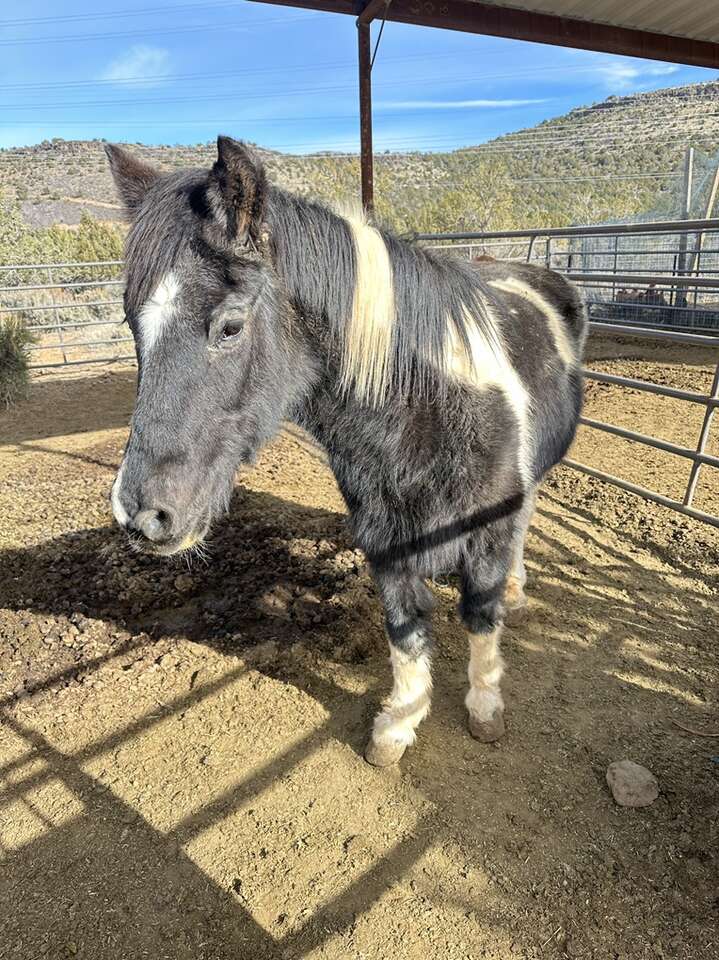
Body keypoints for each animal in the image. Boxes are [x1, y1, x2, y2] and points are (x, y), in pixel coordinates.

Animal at [106, 136, 587, 767]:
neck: (429, 410)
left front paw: (484, 707)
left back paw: (515, 585)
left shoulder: (487, 528)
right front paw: (398, 725)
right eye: (131, 323)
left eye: (230, 326)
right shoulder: (385, 535)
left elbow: (480, 614)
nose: (142, 516)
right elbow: (404, 627)